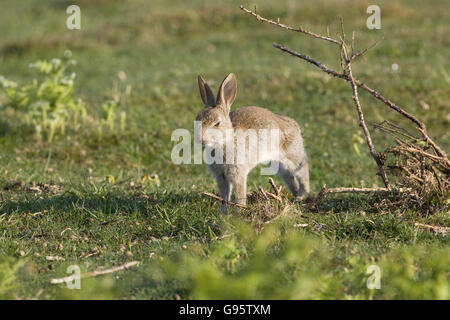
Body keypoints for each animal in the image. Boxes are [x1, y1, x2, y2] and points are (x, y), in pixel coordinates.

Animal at [197, 72, 310, 212]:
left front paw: (238, 212)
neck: (224, 141)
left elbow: (239, 194)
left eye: (217, 123)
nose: (201, 139)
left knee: (303, 169)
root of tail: (294, 125)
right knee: (288, 176)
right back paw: (295, 195)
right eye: (197, 119)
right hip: (277, 163)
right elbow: (224, 196)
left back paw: (302, 195)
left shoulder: (238, 173)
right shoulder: (221, 176)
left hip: (292, 155)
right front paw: (222, 213)